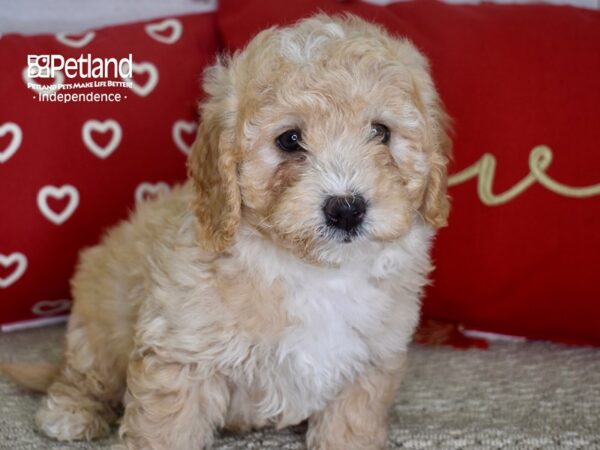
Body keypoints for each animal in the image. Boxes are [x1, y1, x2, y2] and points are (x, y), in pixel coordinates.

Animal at [3, 14, 450, 450]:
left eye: (381, 132)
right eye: (289, 140)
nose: (346, 209)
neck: (317, 272)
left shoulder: (368, 362)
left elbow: (350, 427)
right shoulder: (182, 353)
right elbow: (167, 432)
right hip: (99, 323)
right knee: (83, 374)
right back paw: (71, 412)